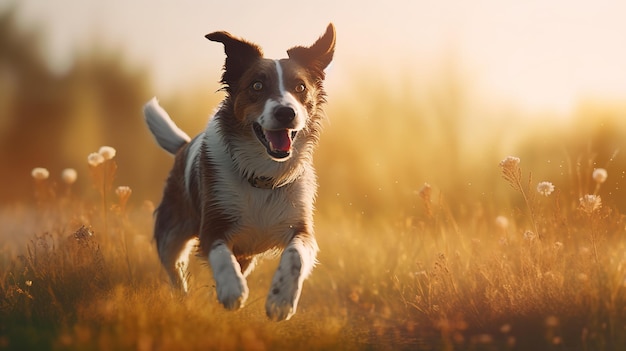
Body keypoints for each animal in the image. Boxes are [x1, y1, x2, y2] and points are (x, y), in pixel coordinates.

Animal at [143, 24, 334, 322]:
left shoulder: (300, 229)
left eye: (300, 87)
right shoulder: (213, 225)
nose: (286, 112)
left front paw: (281, 300)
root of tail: (183, 146)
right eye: (257, 86)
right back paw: (185, 299)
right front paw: (232, 290)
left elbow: (295, 256)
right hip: (171, 232)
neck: (262, 175)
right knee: (174, 268)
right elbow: (221, 256)